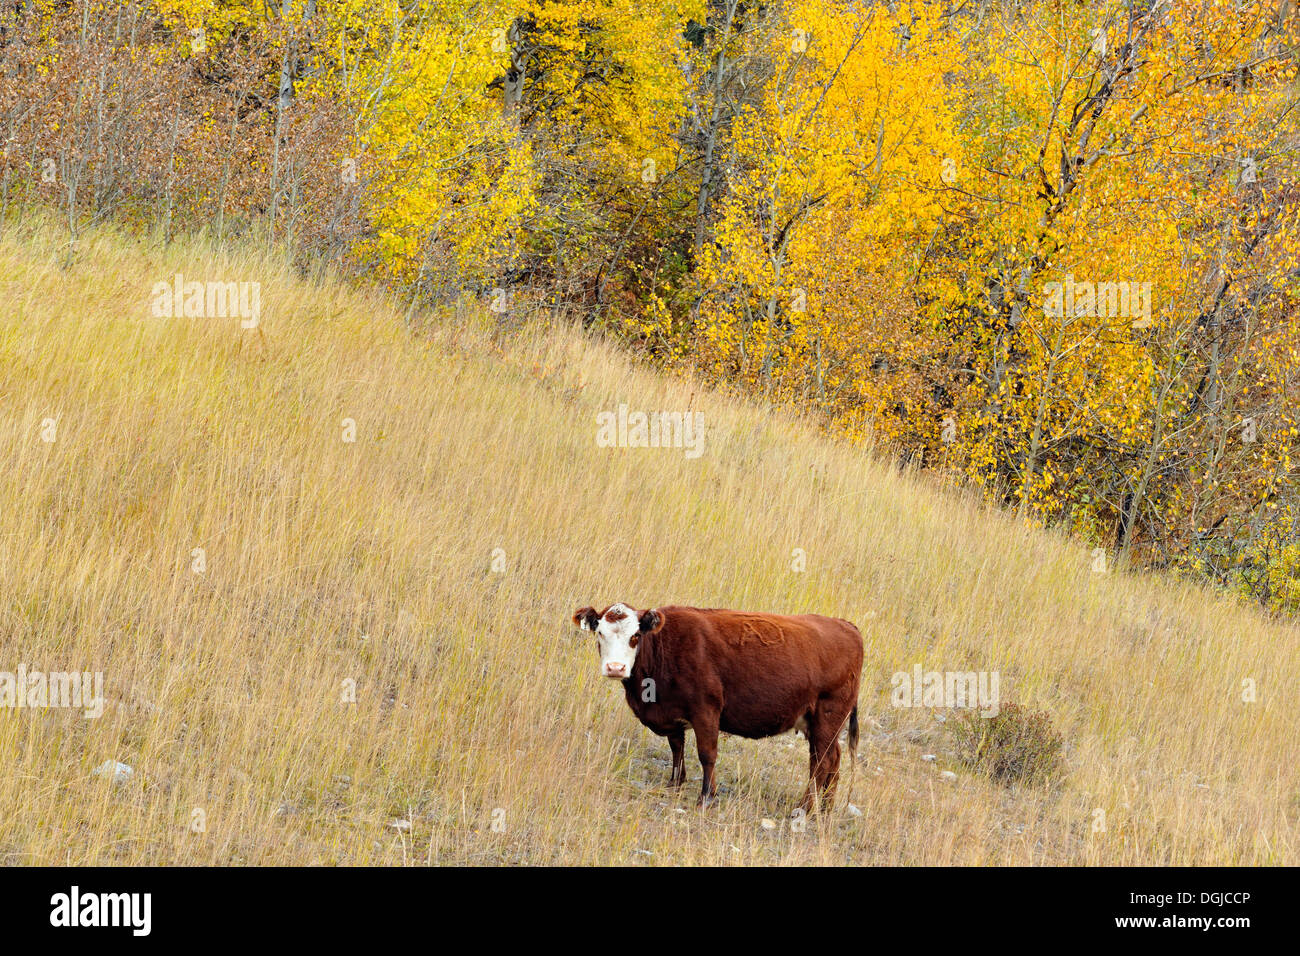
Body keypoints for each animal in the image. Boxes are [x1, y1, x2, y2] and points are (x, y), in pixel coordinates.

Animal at [572, 600, 863, 811]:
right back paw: (825, 807)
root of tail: (846, 625)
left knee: (822, 762)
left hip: (828, 715)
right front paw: (674, 783)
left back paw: (805, 808)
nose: (615, 668)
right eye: (600, 633)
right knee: (830, 759)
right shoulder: (673, 715)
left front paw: (706, 797)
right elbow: (677, 749)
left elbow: (707, 754)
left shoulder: (706, 710)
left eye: (635, 636)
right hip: (818, 722)